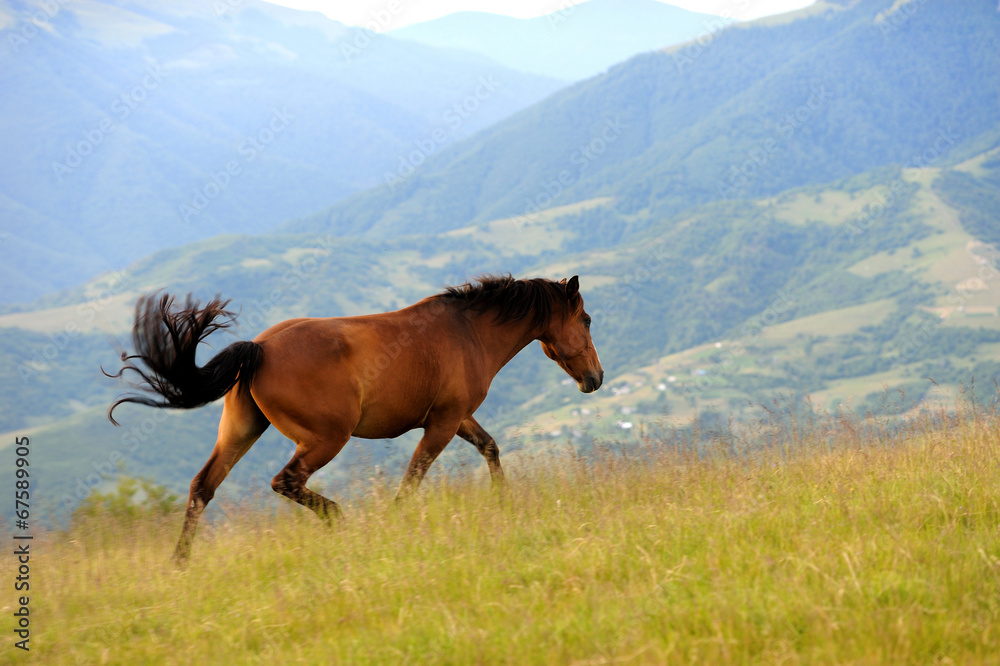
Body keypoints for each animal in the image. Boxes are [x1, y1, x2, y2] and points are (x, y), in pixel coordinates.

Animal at [112, 274, 604, 560]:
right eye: (587, 319)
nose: (596, 378)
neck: (468, 333)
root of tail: (260, 348)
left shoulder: (457, 418)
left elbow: (490, 447)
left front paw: (504, 502)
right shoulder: (442, 424)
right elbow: (414, 478)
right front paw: (393, 525)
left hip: (242, 430)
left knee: (203, 487)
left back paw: (180, 562)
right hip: (326, 439)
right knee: (285, 482)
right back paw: (340, 520)